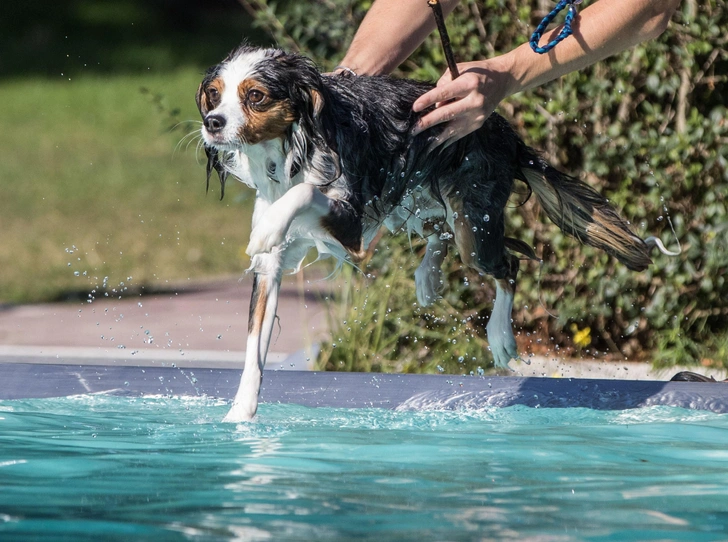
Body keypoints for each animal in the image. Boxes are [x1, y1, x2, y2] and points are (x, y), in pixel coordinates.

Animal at [196, 44, 656, 422]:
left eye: (255, 95)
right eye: (215, 94)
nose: (212, 123)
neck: (292, 145)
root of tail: (504, 130)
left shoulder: (351, 226)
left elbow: (305, 192)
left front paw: (270, 225)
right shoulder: (271, 270)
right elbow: (254, 349)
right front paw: (240, 416)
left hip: (474, 227)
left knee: (509, 262)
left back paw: (500, 335)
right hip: (427, 198)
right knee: (446, 233)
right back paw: (427, 276)